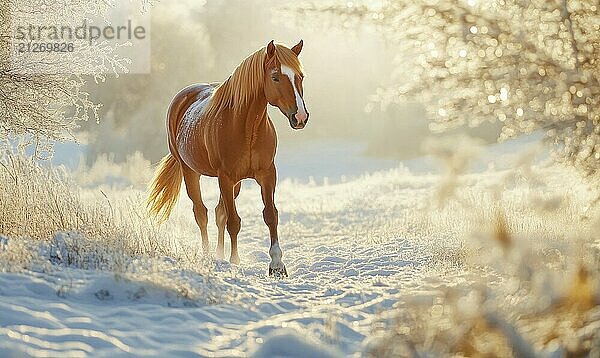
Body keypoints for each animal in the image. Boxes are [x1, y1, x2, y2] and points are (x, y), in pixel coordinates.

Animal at [146, 39, 310, 276]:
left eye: (300, 77)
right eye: (275, 77)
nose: (300, 117)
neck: (247, 127)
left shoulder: (267, 175)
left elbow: (270, 215)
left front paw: (277, 265)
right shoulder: (225, 177)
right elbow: (234, 221)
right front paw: (235, 260)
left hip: (236, 184)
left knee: (218, 213)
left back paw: (218, 254)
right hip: (191, 172)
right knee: (201, 213)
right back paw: (208, 254)